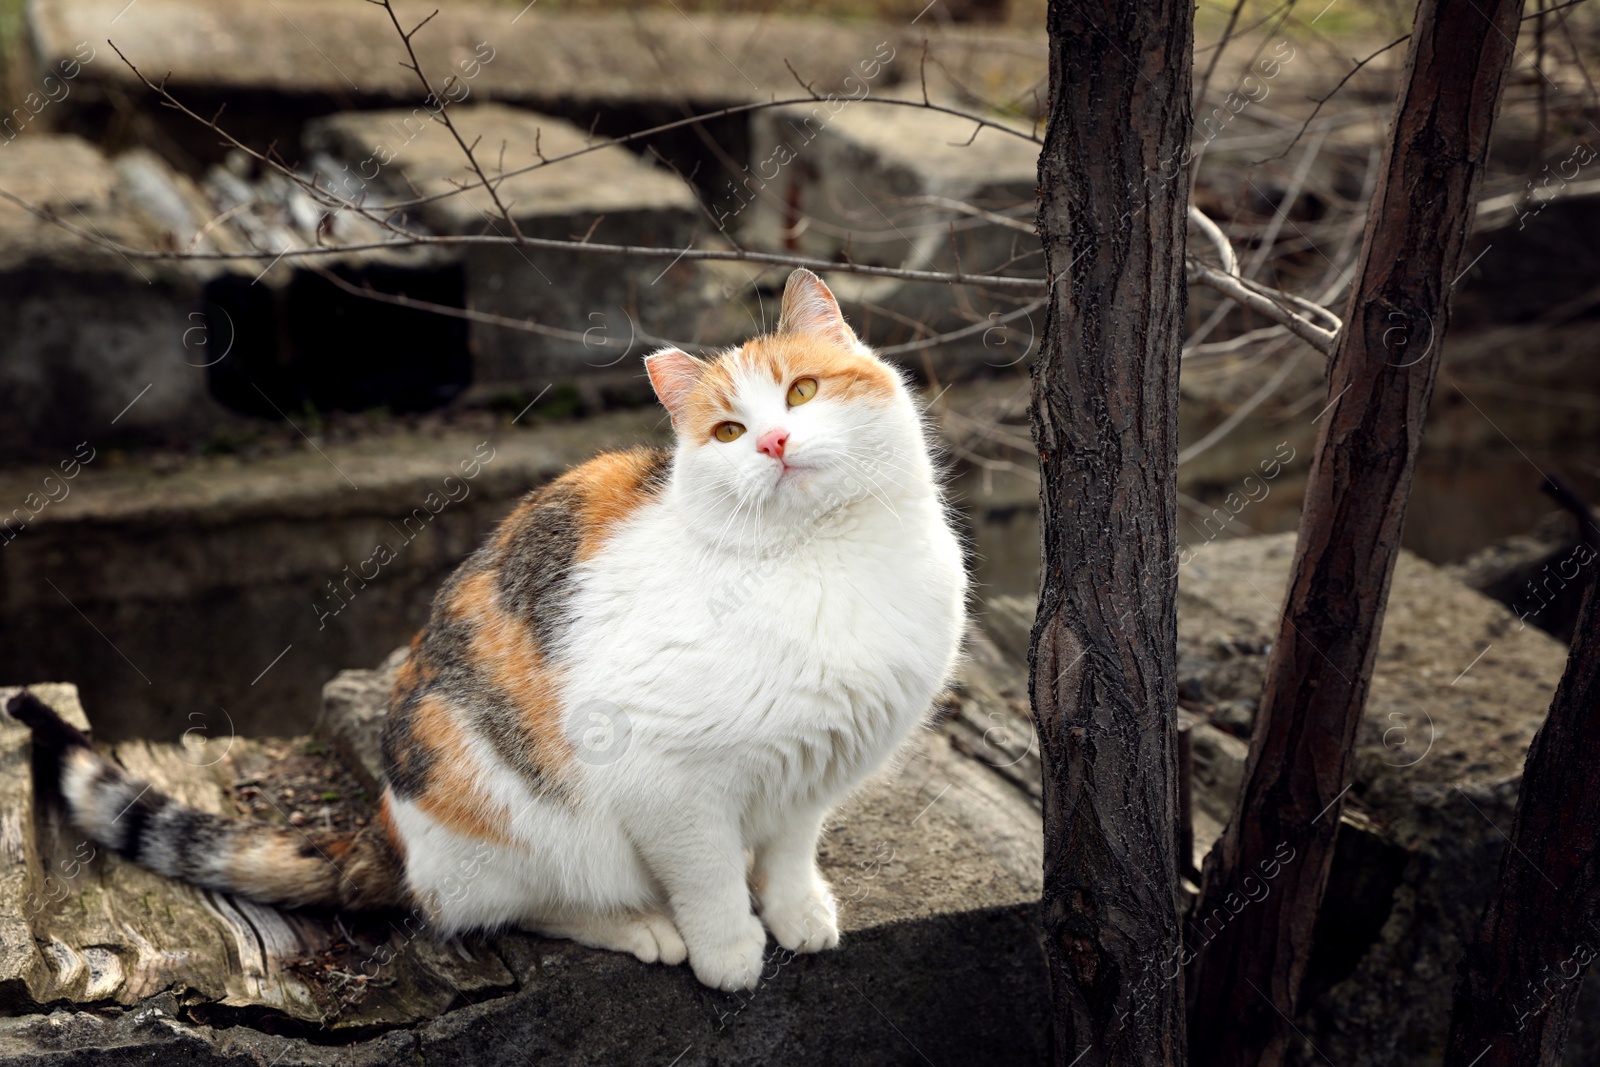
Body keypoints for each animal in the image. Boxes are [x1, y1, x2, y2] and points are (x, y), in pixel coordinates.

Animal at [9, 267, 960, 991]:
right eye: (727, 430)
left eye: (803, 390)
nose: (771, 443)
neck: (821, 557)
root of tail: (386, 825)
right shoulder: (670, 783)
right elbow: (712, 874)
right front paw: (730, 952)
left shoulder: (816, 765)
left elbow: (791, 846)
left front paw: (799, 909)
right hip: (508, 801)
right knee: (501, 904)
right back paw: (639, 923)